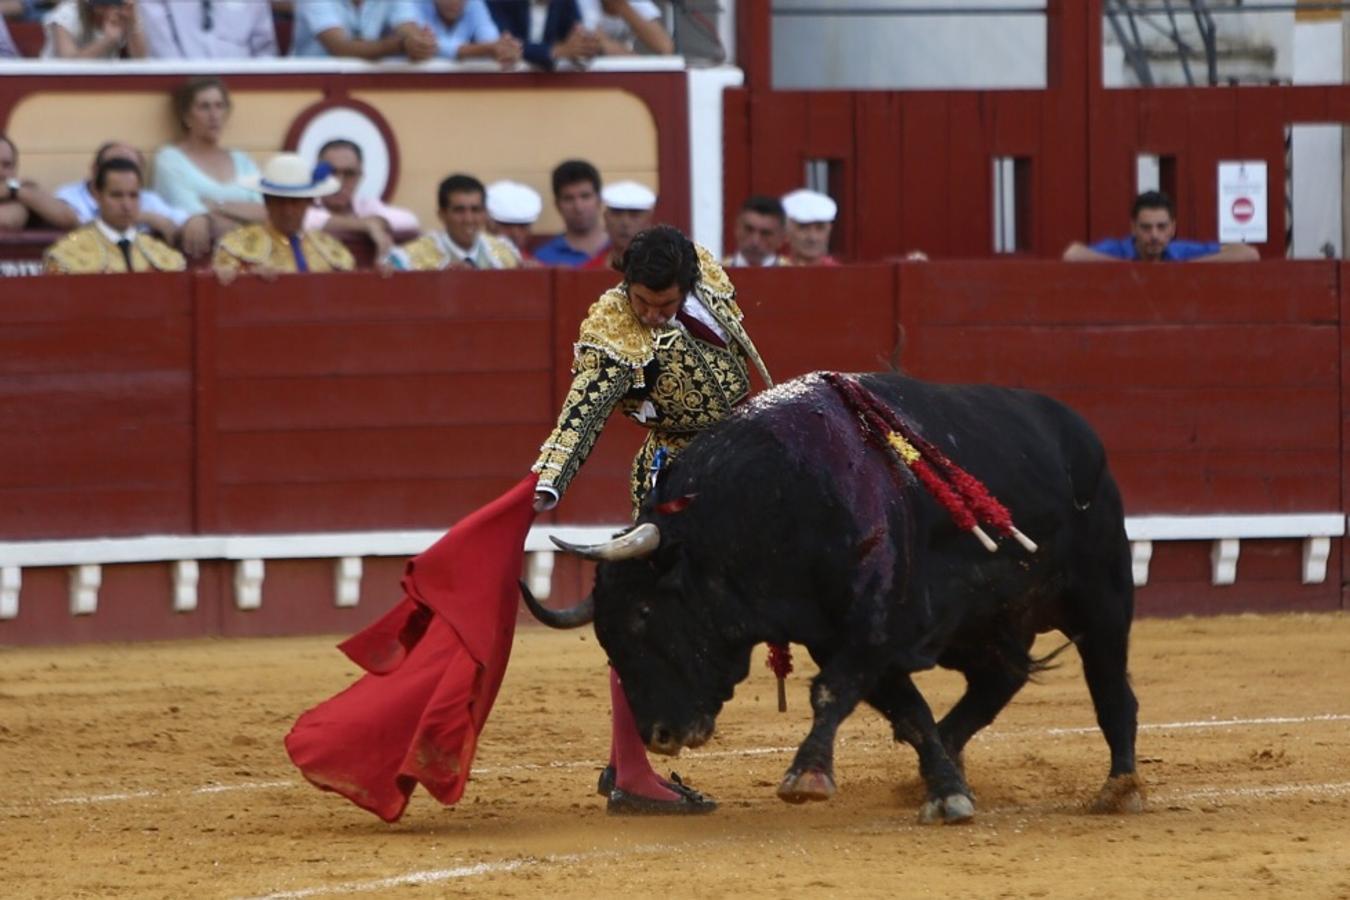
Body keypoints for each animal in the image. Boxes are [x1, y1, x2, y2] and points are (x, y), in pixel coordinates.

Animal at [521, 372, 1144, 825]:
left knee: (1111, 688)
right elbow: (907, 711)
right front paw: (945, 788)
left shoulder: (874, 627)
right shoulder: (846, 639)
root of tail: (1079, 431)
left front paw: (808, 778)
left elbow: (831, 694)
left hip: (1101, 596)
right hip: (982, 624)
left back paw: (1120, 790)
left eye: (646, 616)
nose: (661, 737)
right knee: (998, 680)